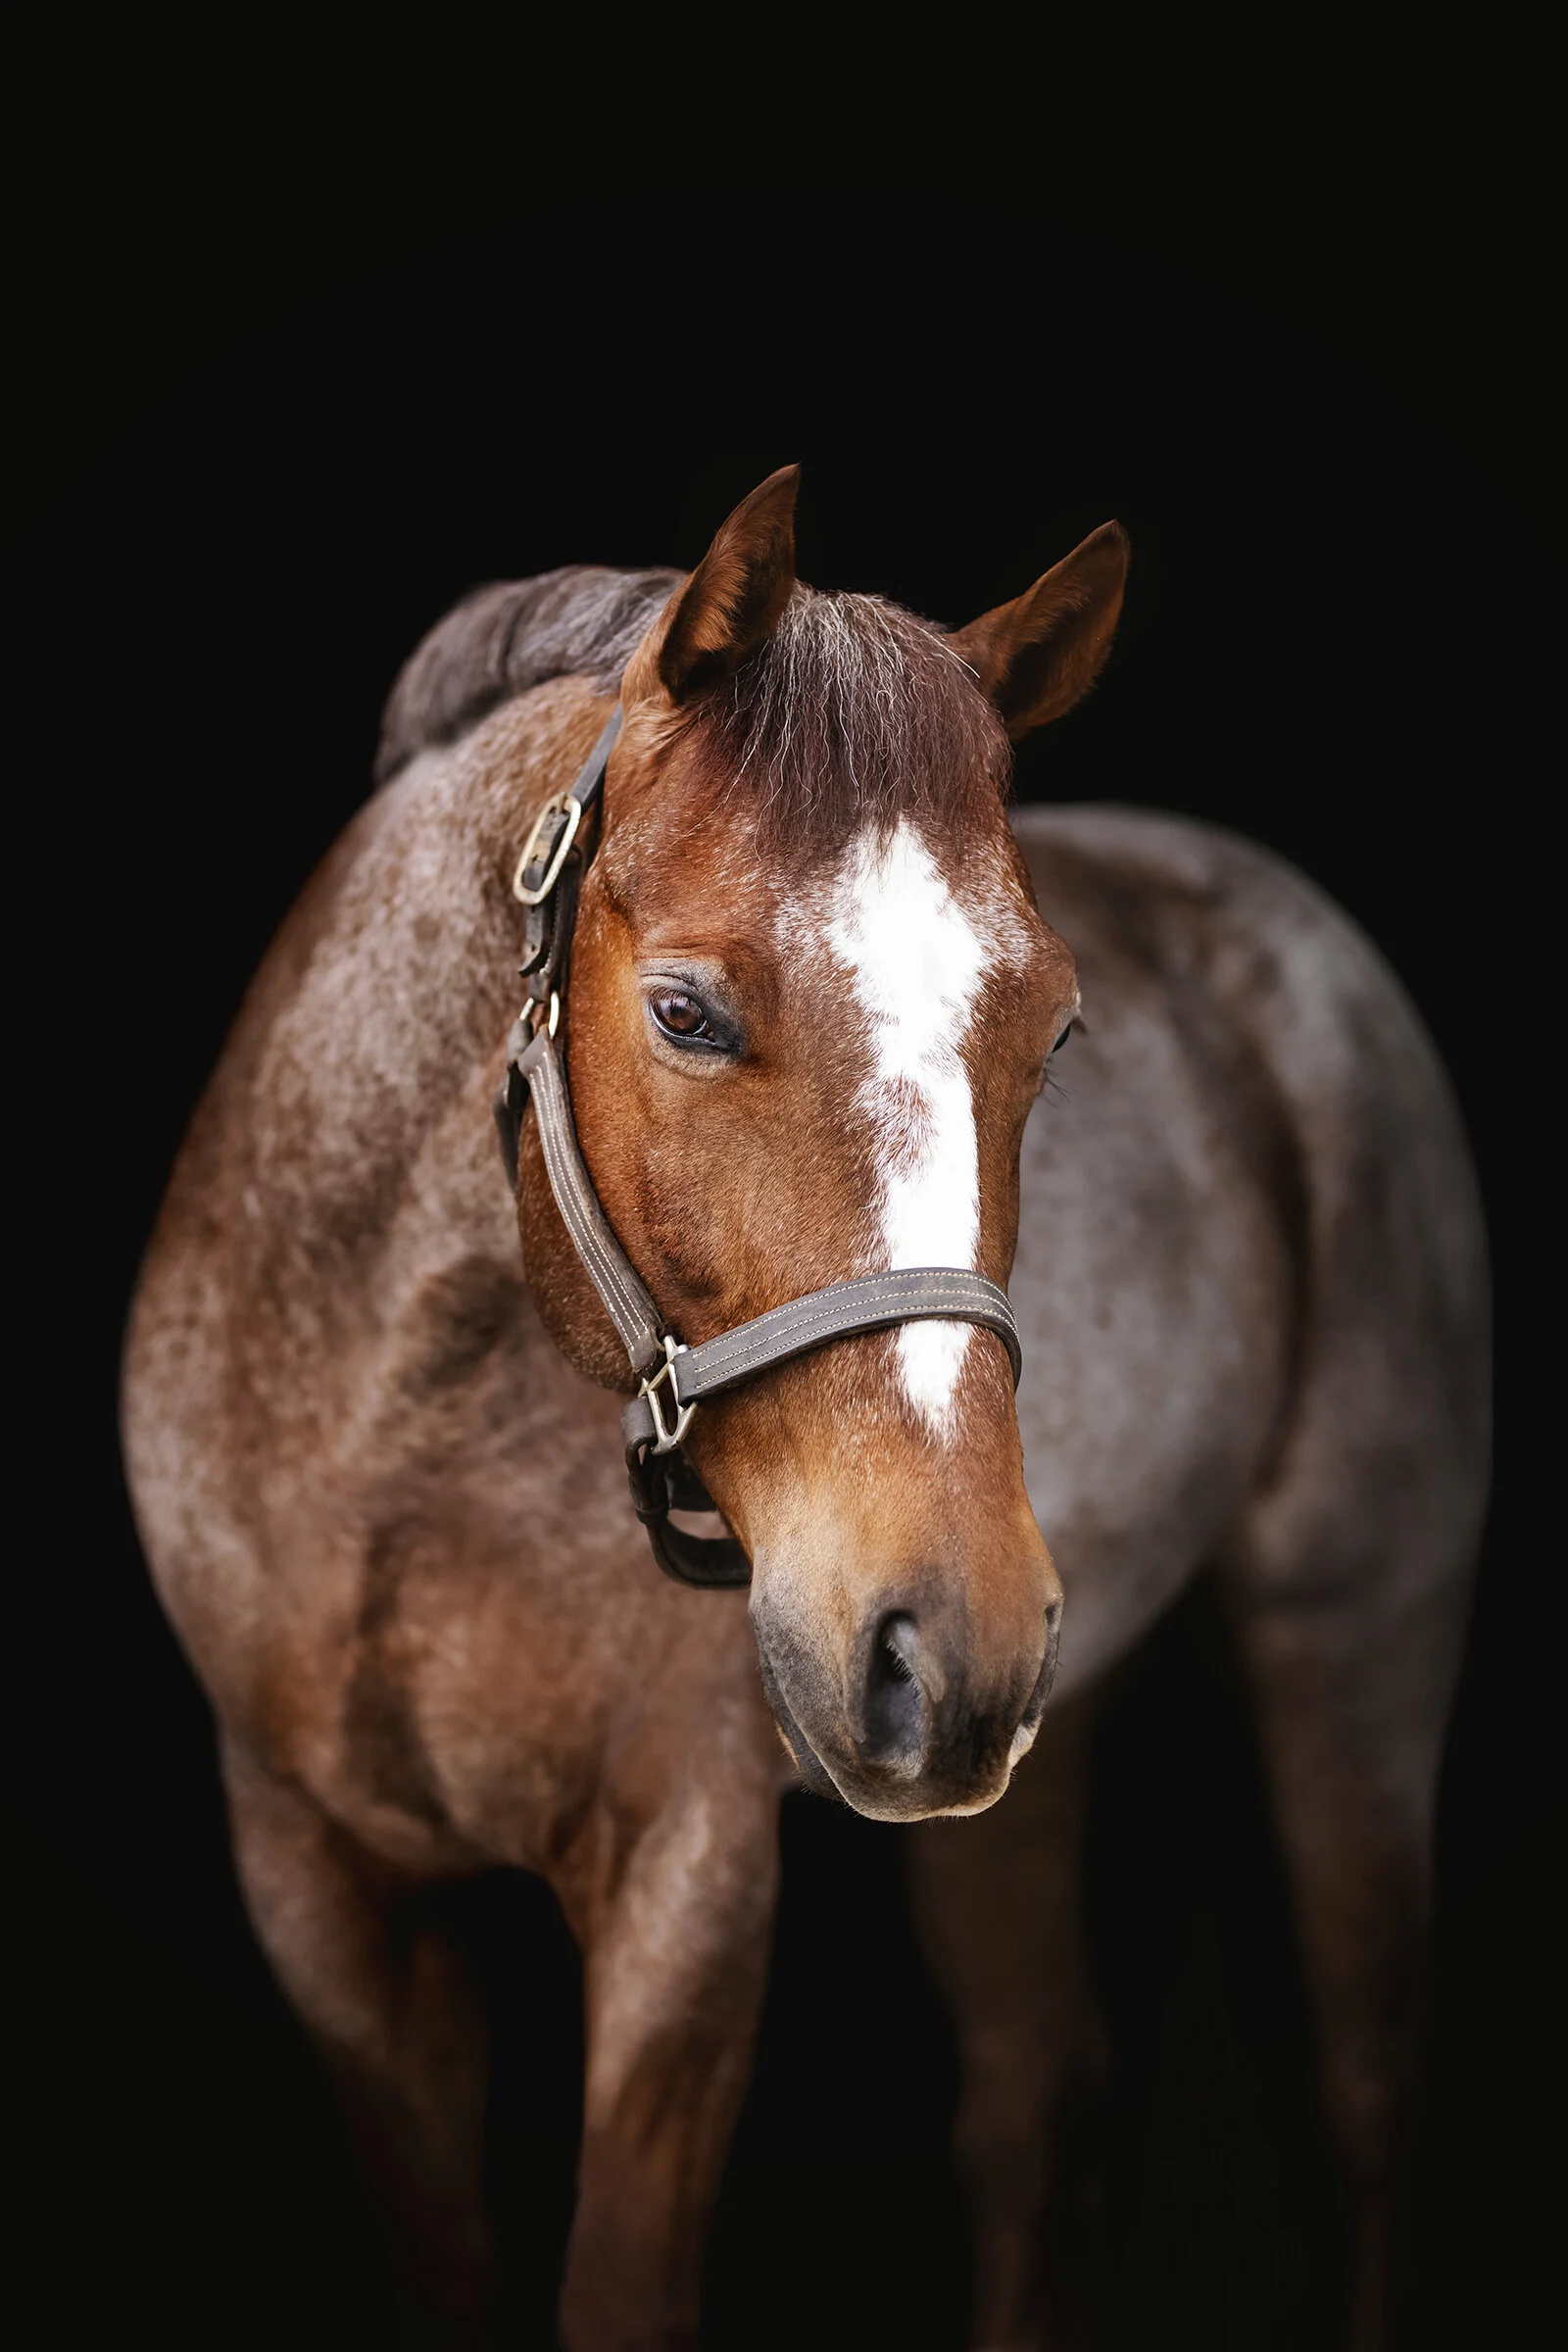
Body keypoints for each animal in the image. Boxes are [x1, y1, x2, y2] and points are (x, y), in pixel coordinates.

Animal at [121, 465, 1488, 2350]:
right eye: (686, 1012)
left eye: (1057, 1035)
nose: (948, 1628)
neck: (395, 1440)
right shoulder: (318, 1883)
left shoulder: (687, 1890)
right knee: (1030, 2095)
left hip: (1343, 1649)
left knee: (1362, 2094)